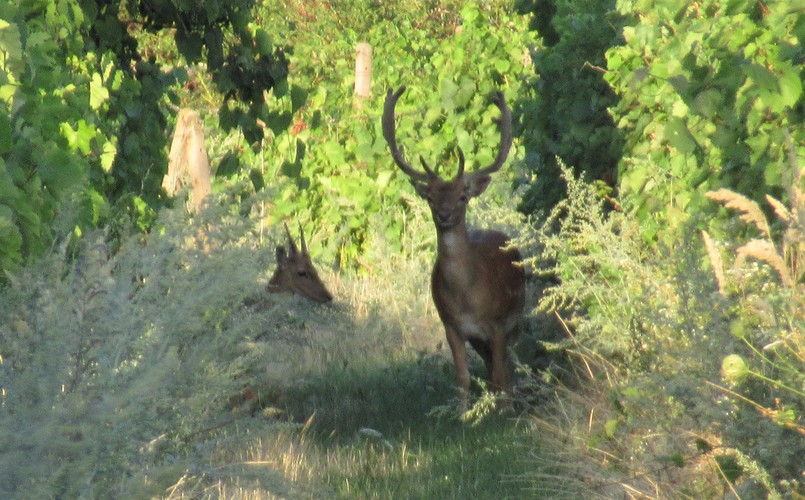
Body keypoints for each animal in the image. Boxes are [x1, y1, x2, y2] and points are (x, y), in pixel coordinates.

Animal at [384, 86, 528, 410]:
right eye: (431, 198)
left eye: (463, 196)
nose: (444, 215)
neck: (467, 296)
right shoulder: (450, 324)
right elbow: (462, 377)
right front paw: (463, 415)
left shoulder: (498, 324)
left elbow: (501, 373)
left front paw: (502, 414)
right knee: (491, 366)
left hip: (515, 320)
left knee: (507, 367)